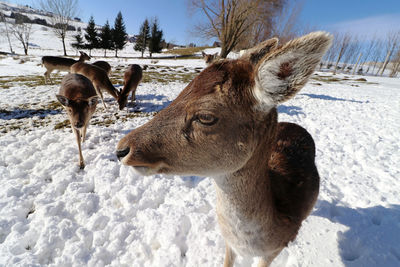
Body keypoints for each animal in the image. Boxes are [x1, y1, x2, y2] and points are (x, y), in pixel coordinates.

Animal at [115, 32, 332, 266]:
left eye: (206, 116)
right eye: (181, 92)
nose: (122, 149)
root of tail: (296, 126)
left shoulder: (274, 251)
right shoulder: (228, 243)